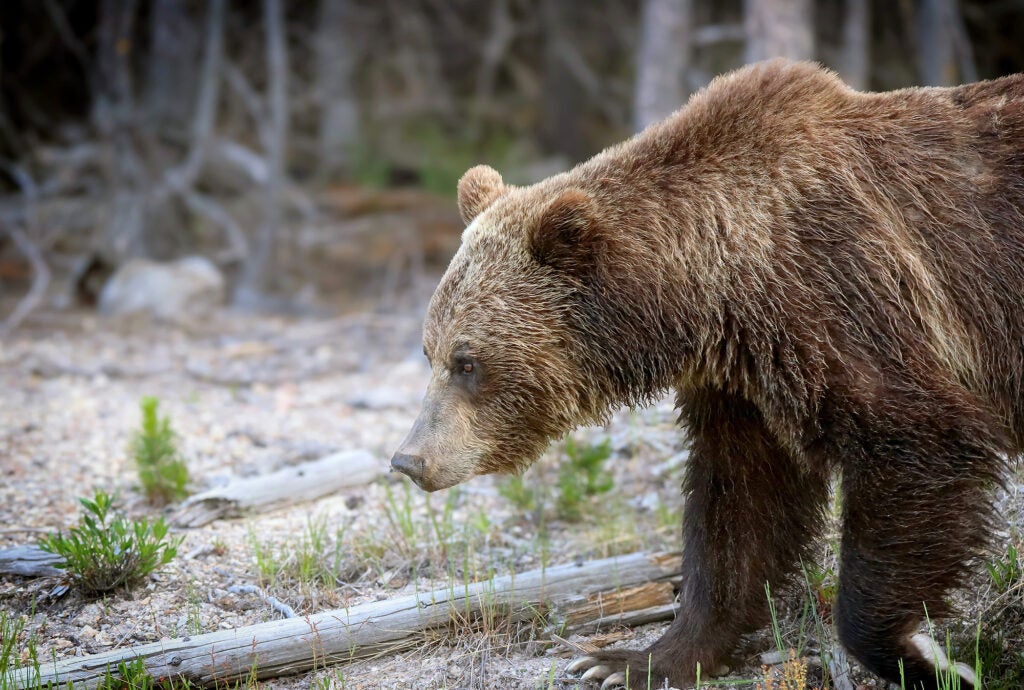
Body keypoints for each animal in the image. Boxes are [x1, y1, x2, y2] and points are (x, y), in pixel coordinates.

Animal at [391, 60, 1024, 687]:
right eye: (429, 352)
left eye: (467, 362)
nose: (409, 459)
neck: (710, 294)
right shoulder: (745, 382)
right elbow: (740, 507)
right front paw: (633, 660)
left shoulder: (845, 295)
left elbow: (918, 439)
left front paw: (927, 656)